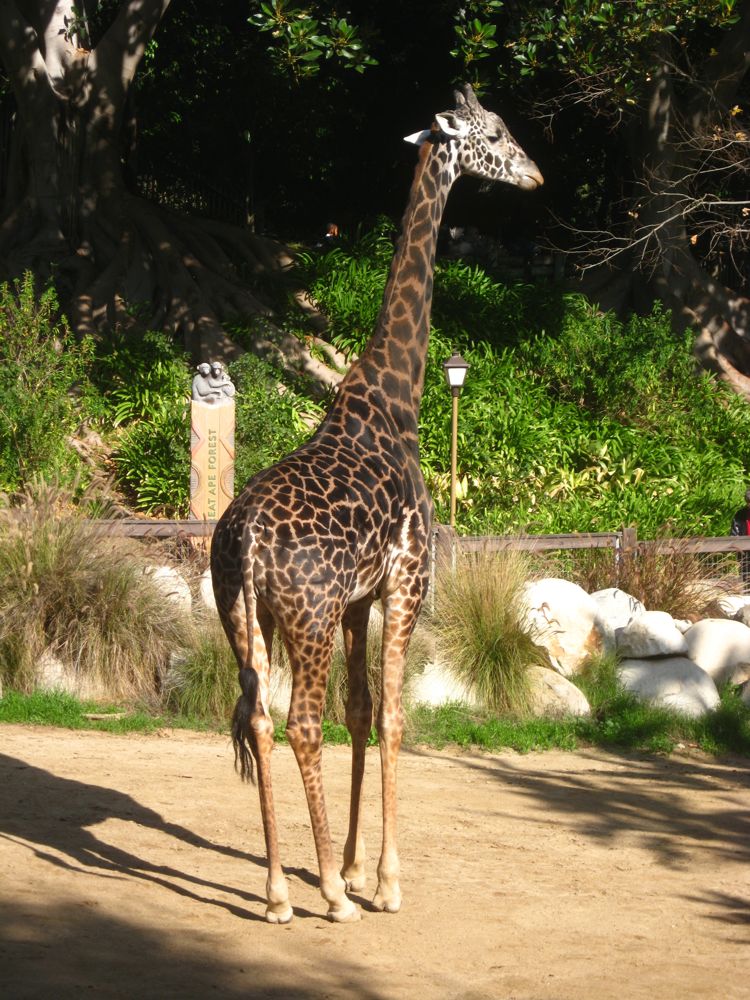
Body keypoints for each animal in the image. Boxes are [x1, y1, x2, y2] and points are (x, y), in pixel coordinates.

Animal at [212, 86, 548, 920]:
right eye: (496, 133)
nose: (536, 175)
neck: (400, 397)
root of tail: (247, 540)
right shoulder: (407, 583)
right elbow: (395, 717)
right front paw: (383, 881)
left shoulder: (361, 600)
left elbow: (361, 713)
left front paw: (358, 865)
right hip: (305, 616)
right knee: (299, 722)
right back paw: (327, 895)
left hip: (244, 614)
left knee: (258, 718)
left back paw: (278, 890)